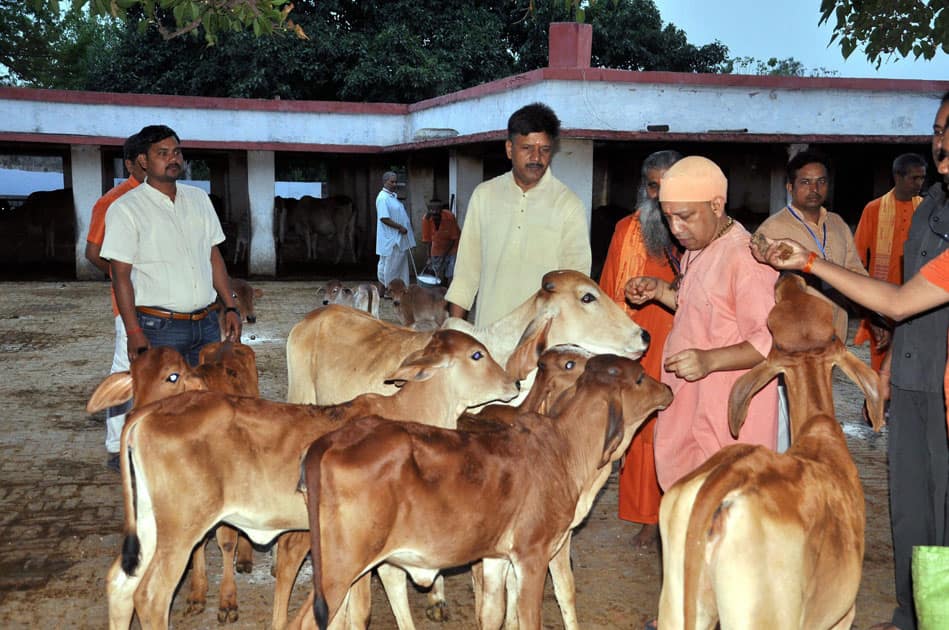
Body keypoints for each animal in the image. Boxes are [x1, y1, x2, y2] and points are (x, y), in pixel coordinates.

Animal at [98, 330, 520, 630]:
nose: (514, 383)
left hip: (150, 523)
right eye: (477, 355)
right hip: (181, 528)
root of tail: (146, 413)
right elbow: (358, 612)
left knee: (120, 584)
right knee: (150, 595)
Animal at [292, 356, 672, 630]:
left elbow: (493, 614)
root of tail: (332, 439)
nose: (668, 386)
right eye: (640, 378)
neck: (565, 448)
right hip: (341, 568)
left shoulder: (495, 558)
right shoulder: (533, 556)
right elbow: (528, 618)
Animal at [656, 276, 884, 630]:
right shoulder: (842, 617)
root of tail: (724, 479)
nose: (788, 277)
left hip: (677, 602)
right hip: (762, 613)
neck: (818, 429)